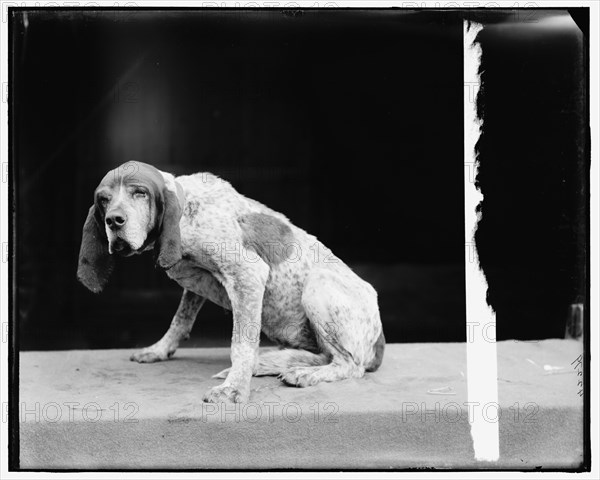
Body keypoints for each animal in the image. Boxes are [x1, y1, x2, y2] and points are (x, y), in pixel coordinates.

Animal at [77, 162, 384, 404]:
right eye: (103, 199)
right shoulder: (195, 286)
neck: (188, 211)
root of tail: (379, 340)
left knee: (349, 364)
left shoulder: (247, 276)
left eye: (139, 193)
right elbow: (180, 320)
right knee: (324, 356)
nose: (114, 221)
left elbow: (241, 345)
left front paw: (233, 389)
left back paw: (305, 374)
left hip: (317, 286)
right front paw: (159, 350)